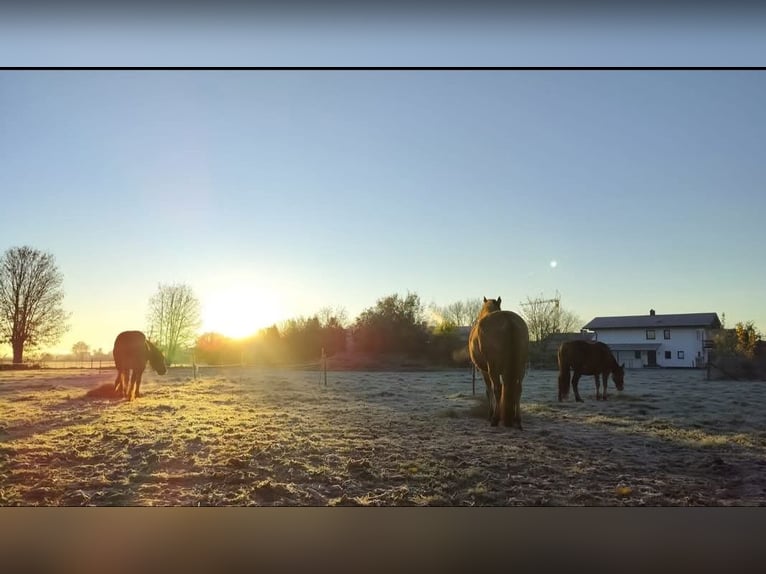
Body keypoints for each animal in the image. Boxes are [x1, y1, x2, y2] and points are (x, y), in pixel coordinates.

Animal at [472, 300, 532, 430]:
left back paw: (495, 419)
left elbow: (489, 391)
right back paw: (517, 419)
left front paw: (490, 415)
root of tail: (508, 319)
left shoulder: (485, 371)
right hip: (520, 367)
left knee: (497, 389)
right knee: (518, 389)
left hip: (493, 368)